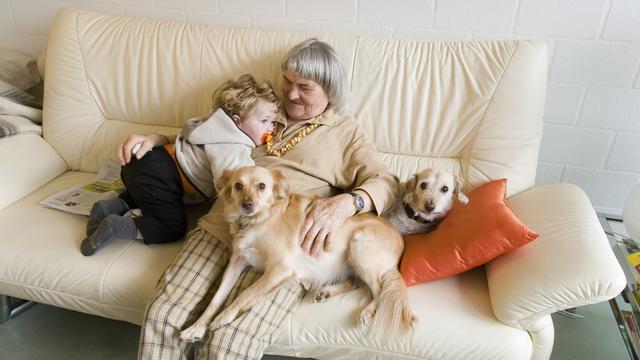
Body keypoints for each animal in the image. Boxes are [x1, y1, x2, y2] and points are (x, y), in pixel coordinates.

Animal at [180, 167, 416, 344]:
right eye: (238, 186)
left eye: (262, 186)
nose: (247, 205)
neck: (259, 220)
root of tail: (400, 237)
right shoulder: (237, 261)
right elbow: (217, 298)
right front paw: (196, 328)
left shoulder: (281, 268)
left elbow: (246, 293)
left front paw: (224, 317)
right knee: (354, 283)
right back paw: (326, 292)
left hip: (359, 247)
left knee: (379, 290)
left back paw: (367, 311)